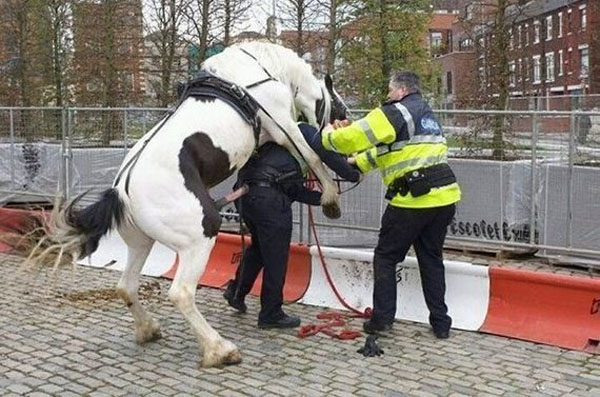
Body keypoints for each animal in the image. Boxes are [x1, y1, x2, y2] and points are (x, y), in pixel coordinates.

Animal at [42, 41, 350, 366]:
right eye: (338, 103)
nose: (346, 119)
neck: (259, 70)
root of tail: (120, 193)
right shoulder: (284, 128)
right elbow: (312, 157)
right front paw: (331, 198)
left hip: (142, 243)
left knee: (127, 287)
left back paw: (149, 329)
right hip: (198, 241)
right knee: (181, 293)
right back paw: (219, 349)